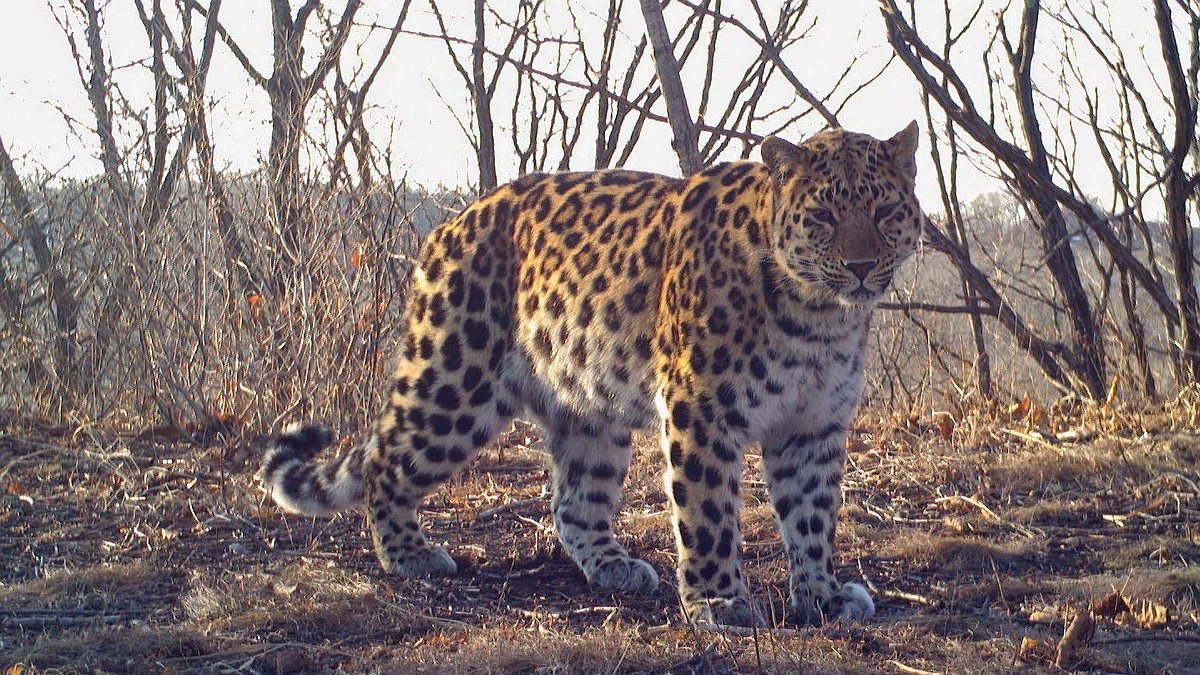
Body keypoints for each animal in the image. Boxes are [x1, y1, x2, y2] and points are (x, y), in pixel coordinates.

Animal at [260, 121, 916, 624]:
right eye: (824, 216)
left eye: (885, 211)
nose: (861, 267)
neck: (819, 316)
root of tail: (452, 221)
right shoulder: (701, 408)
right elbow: (707, 512)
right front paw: (718, 602)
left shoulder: (814, 424)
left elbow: (812, 515)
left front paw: (823, 595)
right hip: (455, 382)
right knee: (385, 463)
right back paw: (408, 556)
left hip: (587, 407)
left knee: (574, 503)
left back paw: (614, 566)